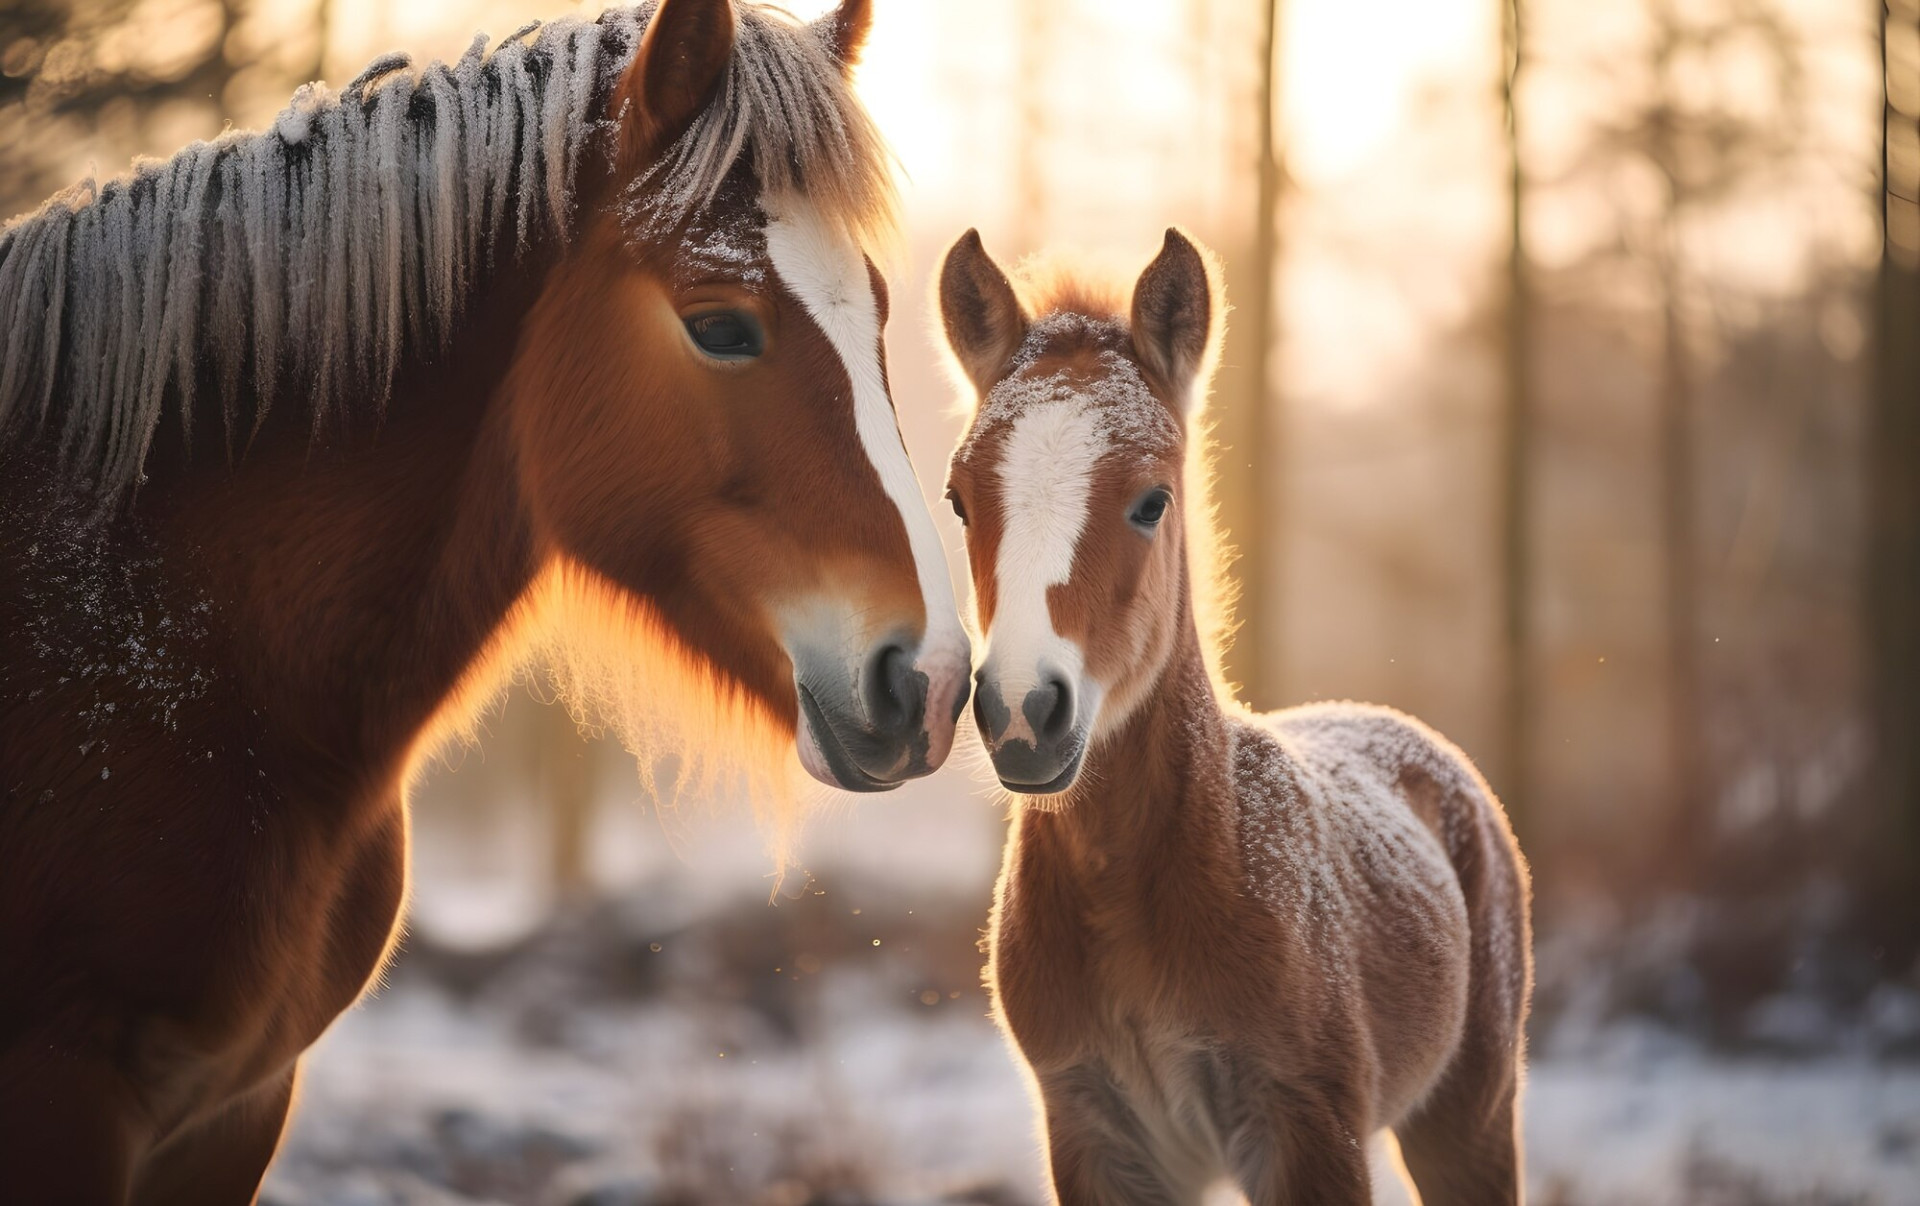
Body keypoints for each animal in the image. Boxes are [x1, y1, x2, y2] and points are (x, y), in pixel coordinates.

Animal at [944, 228, 1528, 1206]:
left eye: (1152, 500)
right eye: (959, 499)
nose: (1023, 710)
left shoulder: (1308, 1129)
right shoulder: (1095, 1134)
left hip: (1469, 1119)